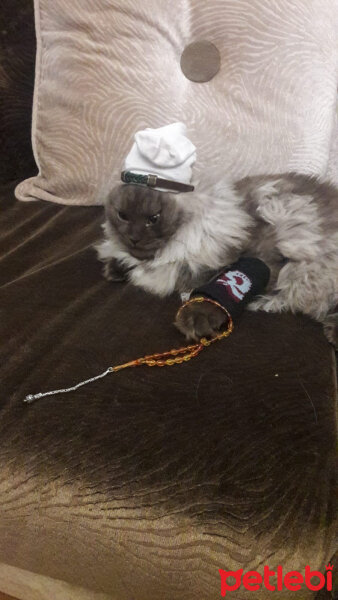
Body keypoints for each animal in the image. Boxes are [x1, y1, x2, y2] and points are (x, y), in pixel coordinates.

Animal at [95, 173, 338, 346]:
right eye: (123, 216)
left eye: (153, 219)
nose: (134, 238)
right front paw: (116, 268)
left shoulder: (261, 260)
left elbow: (218, 289)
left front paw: (194, 318)